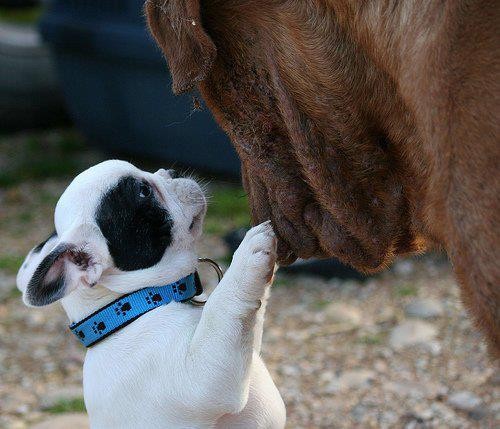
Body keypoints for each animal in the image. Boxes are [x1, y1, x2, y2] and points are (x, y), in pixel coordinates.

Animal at [16, 160, 286, 428]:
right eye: (144, 192)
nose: (171, 172)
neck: (133, 306)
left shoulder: (241, 347)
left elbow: (247, 318)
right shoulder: (200, 378)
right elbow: (222, 308)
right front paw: (247, 253)